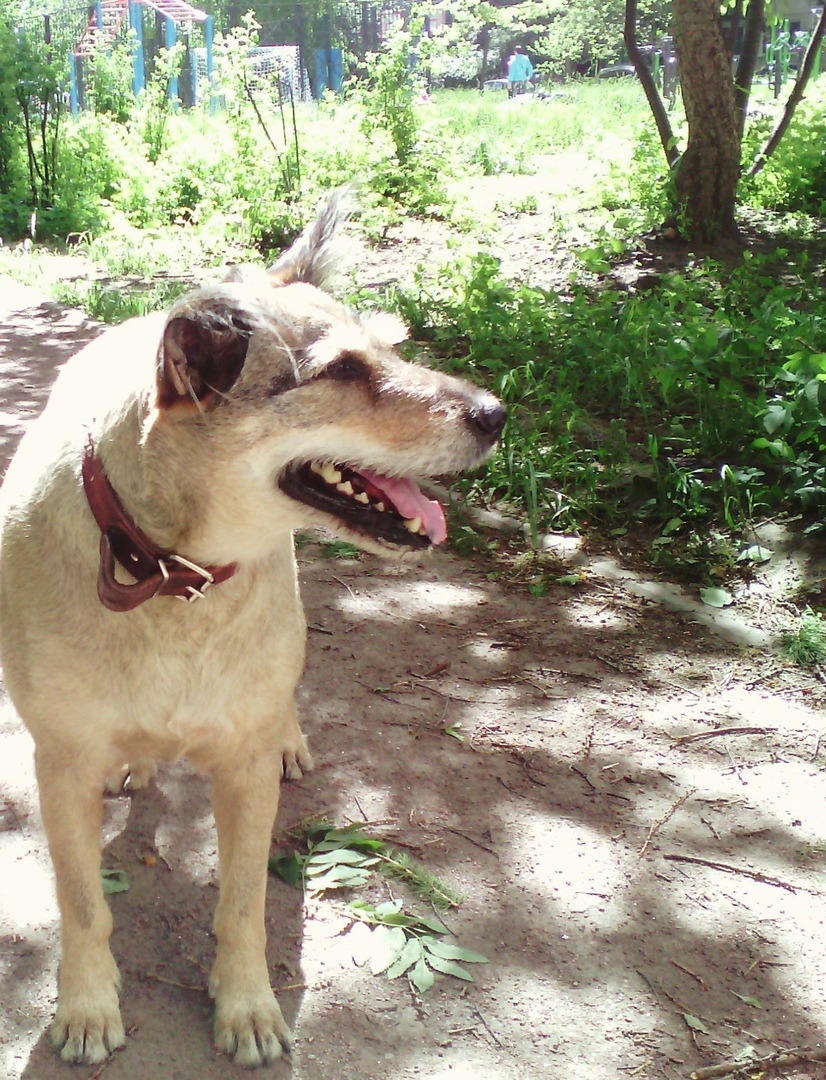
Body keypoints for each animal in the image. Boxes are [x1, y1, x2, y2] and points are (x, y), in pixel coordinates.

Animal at [0, 192, 503, 1062]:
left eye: (389, 349)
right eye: (341, 371)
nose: (496, 414)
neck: (174, 576)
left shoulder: (242, 770)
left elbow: (241, 906)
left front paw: (247, 1005)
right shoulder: (59, 767)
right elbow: (83, 905)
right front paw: (87, 1004)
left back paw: (289, 737)